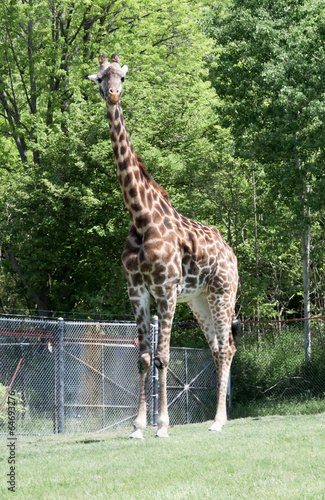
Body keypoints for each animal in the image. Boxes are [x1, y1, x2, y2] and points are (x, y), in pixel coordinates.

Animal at [87, 53, 239, 438]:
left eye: (122, 77)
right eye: (100, 77)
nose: (113, 95)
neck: (142, 218)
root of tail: (232, 254)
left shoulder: (166, 289)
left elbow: (163, 357)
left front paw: (163, 426)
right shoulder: (137, 290)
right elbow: (143, 357)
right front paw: (138, 426)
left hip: (223, 293)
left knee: (227, 347)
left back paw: (218, 421)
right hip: (199, 300)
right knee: (218, 348)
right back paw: (217, 418)